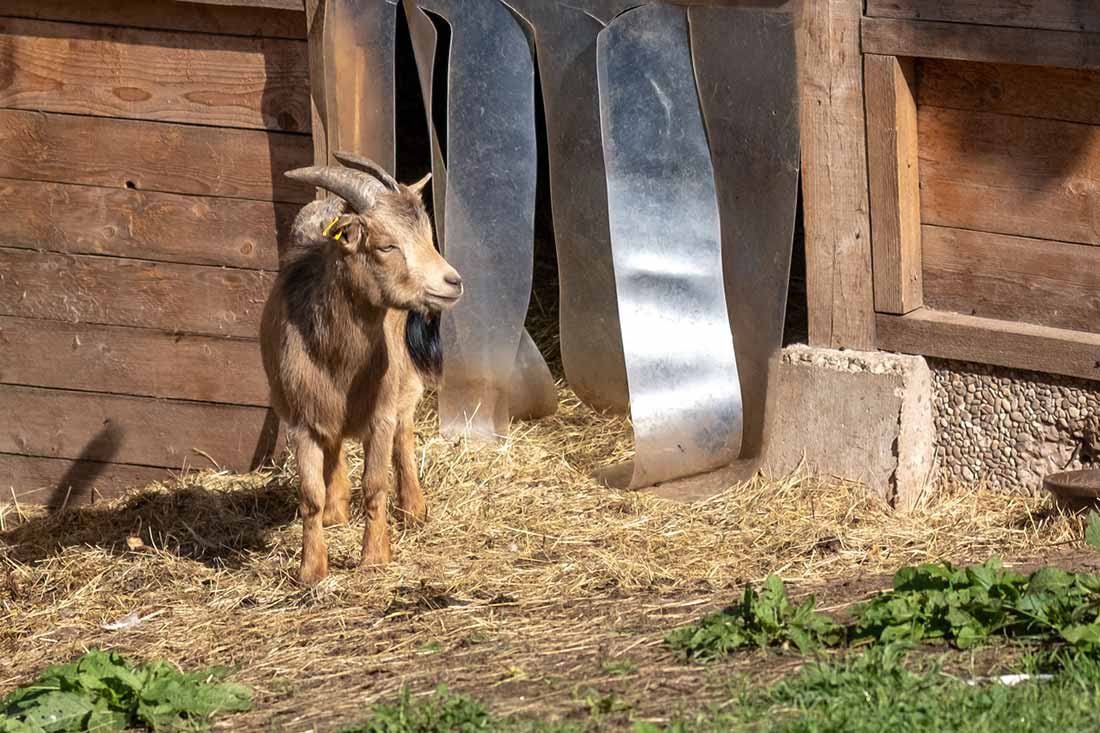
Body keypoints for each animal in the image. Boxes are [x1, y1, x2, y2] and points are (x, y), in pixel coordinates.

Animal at [260, 153, 462, 585]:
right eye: (386, 245)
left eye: (427, 237)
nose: (452, 282)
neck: (339, 360)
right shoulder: (300, 419)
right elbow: (310, 495)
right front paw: (312, 569)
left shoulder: (380, 415)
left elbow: (374, 484)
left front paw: (374, 557)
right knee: (335, 451)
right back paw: (337, 512)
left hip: (405, 382)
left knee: (405, 435)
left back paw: (414, 508)